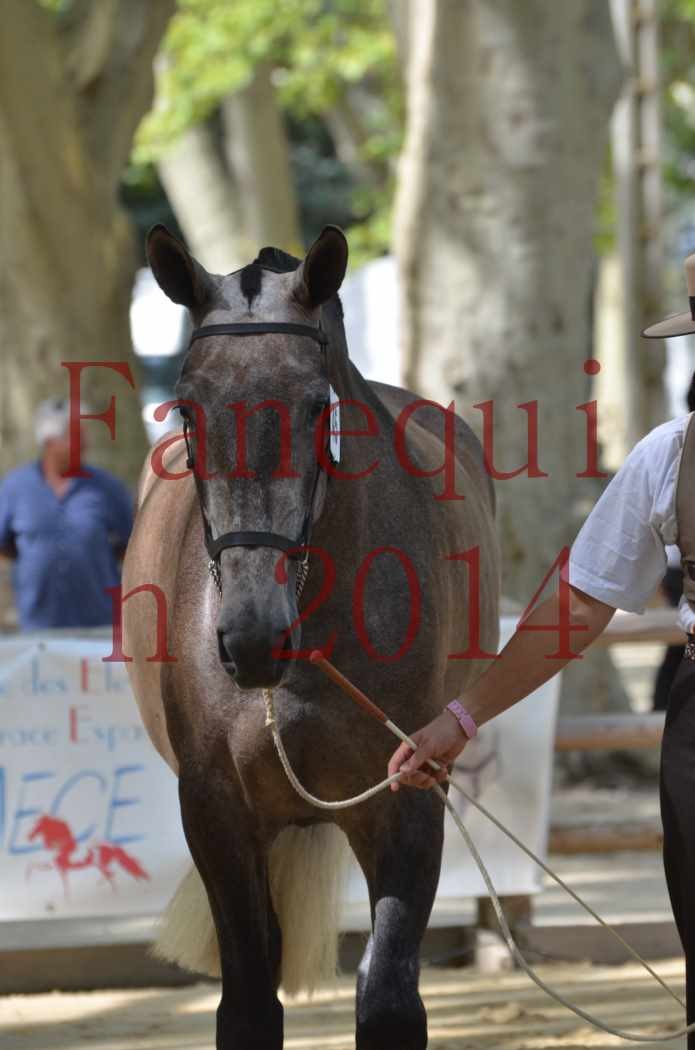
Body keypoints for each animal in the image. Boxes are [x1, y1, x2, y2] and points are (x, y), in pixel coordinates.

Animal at [122, 223, 497, 1050]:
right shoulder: (216, 811)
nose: (253, 637)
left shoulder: (406, 797)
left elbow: (387, 997)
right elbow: (247, 1007)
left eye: (312, 405)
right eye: (187, 410)